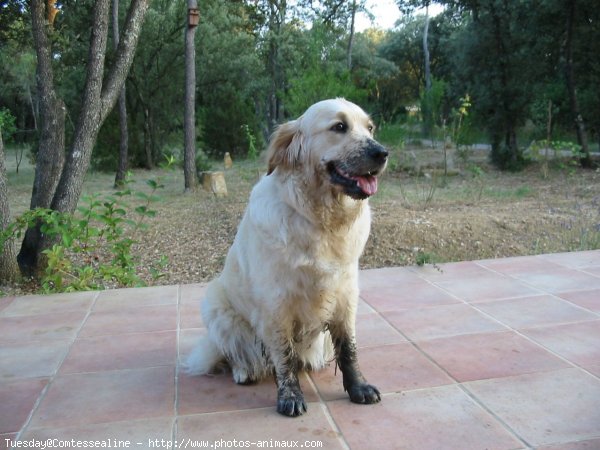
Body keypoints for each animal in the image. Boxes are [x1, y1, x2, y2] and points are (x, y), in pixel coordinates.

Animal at [188, 96, 390, 416]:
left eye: (369, 128)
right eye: (339, 127)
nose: (382, 153)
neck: (321, 221)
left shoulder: (345, 294)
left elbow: (349, 348)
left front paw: (358, 386)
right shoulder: (276, 303)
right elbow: (283, 354)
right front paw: (290, 395)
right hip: (215, 307)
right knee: (236, 354)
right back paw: (243, 371)